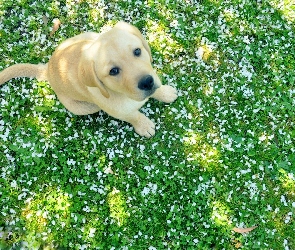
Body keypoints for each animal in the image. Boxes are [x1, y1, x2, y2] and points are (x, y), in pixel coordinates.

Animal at [0, 21, 178, 138]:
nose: (147, 82)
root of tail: (48, 69)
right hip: (83, 107)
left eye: (137, 51)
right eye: (113, 71)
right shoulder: (120, 112)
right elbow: (134, 116)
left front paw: (164, 93)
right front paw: (144, 125)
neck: (122, 94)